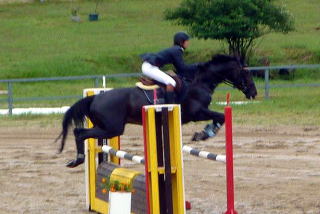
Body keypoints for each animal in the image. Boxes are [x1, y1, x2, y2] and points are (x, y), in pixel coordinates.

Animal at [56, 53, 258, 167]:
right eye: (246, 72)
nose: (254, 93)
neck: (200, 82)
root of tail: (96, 97)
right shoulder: (196, 112)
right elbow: (220, 116)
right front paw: (204, 133)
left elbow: (219, 117)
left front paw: (204, 132)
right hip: (112, 128)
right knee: (80, 133)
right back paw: (78, 159)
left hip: (105, 126)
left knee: (79, 131)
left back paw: (75, 160)